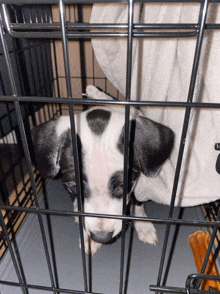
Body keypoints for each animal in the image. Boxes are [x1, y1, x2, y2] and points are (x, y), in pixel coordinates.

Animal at [31, 85, 174, 255]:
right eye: (74, 186)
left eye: (123, 186)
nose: (101, 237)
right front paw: (87, 237)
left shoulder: (137, 183)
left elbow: (138, 203)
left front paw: (143, 225)